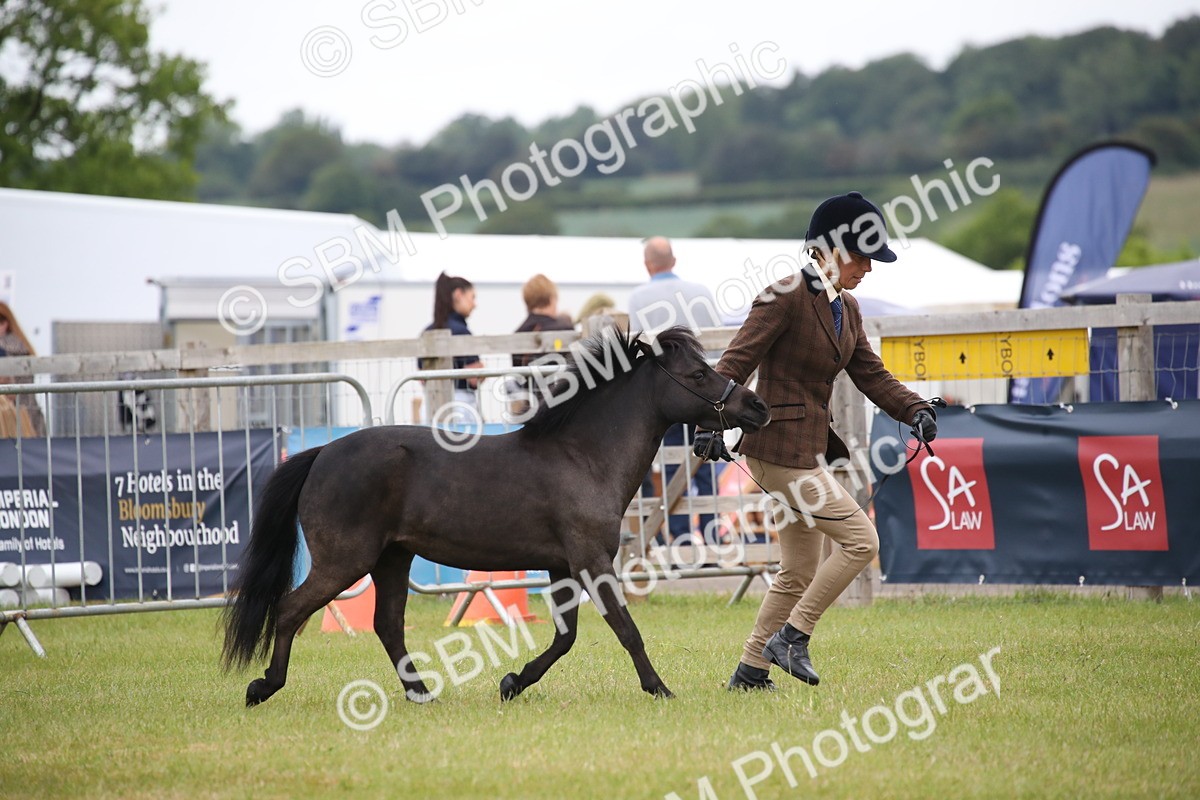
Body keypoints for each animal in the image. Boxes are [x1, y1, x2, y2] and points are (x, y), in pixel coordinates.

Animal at [222, 326, 770, 707]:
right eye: (698, 375)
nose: (758, 408)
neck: (582, 456)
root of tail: (322, 454)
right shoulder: (591, 561)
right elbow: (624, 628)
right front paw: (659, 689)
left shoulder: (561, 566)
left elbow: (566, 637)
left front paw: (511, 682)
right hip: (345, 561)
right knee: (291, 609)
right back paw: (262, 687)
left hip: (393, 559)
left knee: (387, 625)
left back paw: (422, 693)